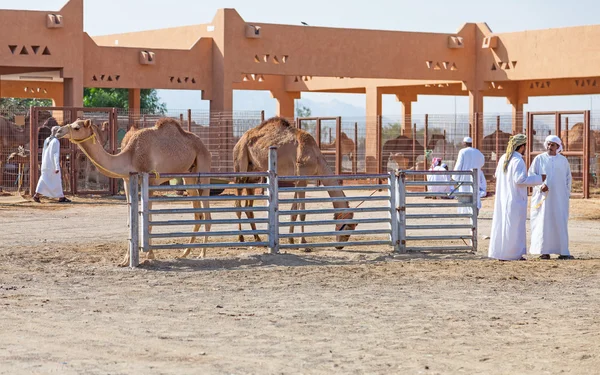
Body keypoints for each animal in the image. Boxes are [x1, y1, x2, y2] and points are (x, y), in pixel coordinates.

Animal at [54, 117, 213, 268]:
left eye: (77, 127)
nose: (57, 131)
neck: (131, 155)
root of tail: (203, 144)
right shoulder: (126, 181)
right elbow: (130, 221)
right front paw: (125, 260)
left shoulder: (150, 180)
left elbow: (148, 221)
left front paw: (149, 255)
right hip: (188, 174)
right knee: (198, 214)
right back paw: (185, 252)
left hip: (203, 166)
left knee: (207, 212)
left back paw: (202, 253)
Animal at [233, 116, 356, 248]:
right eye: (348, 227)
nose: (340, 245)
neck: (316, 158)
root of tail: (239, 141)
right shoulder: (302, 177)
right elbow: (302, 212)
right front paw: (303, 242)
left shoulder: (299, 180)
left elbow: (294, 211)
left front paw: (291, 240)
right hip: (240, 164)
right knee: (238, 203)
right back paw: (241, 238)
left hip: (253, 172)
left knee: (248, 206)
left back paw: (258, 239)